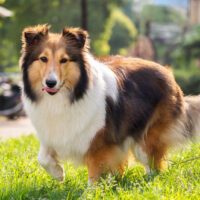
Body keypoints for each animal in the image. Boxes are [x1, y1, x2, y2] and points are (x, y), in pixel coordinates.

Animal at [19, 24, 200, 184]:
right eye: (43, 59)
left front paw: (92, 193)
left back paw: (149, 182)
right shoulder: (52, 134)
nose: (50, 83)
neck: (70, 96)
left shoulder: (99, 144)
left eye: (64, 60)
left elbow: (94, 175)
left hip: (147, 138)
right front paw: (58, 174)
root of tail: (168, 72)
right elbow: (42, 158)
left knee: (153, 166)